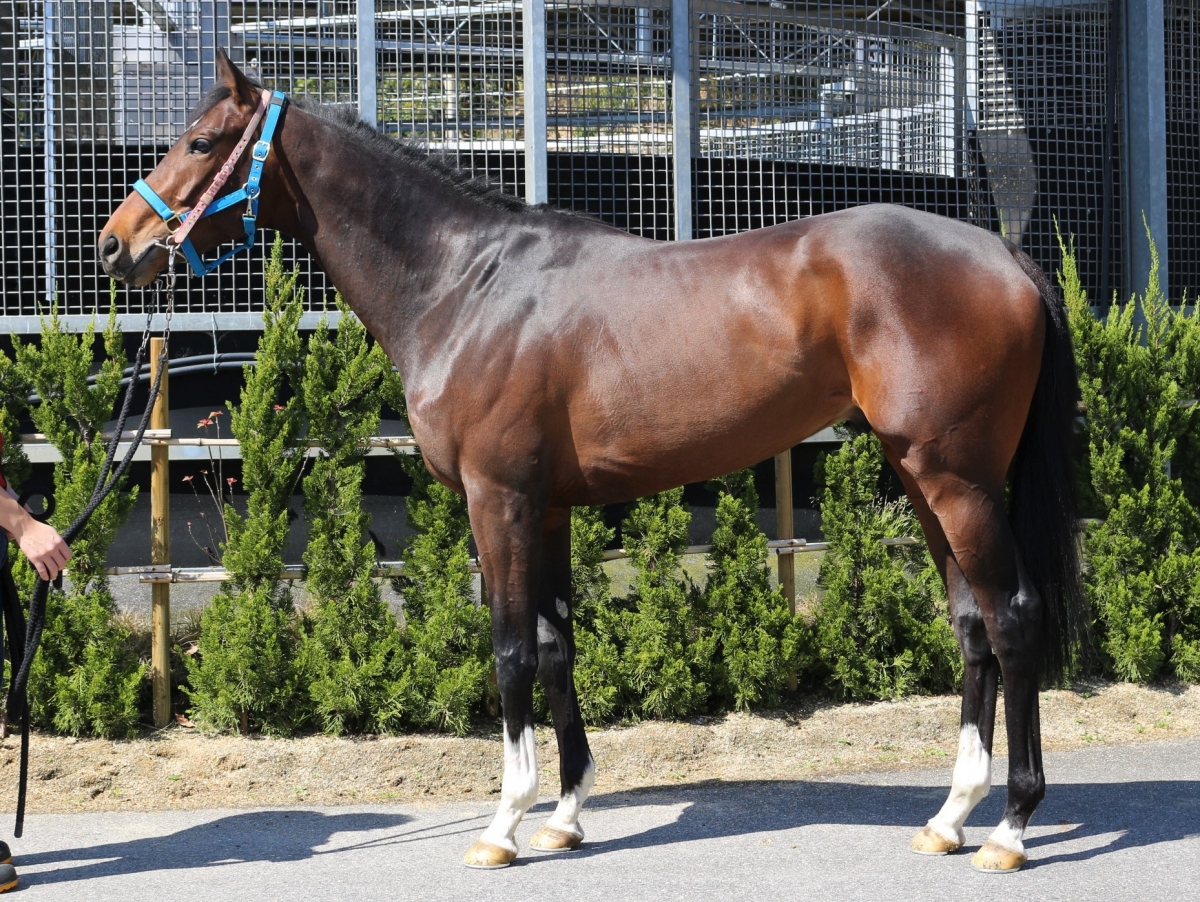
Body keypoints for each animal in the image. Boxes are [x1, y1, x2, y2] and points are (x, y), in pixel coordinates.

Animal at [98, 51, 1084, 873]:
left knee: (1013, 619)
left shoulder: (497, 500)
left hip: (957, 482)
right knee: (971, 625)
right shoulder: (549, 505)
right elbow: (555, 644)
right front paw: (565, 815)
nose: (115, 244)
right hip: (925, 478)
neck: (470, 284)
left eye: (201, 142)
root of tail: (1003, 252)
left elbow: (508, 651)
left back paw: (1010, 828)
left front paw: (503, 824)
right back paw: (950, 817)